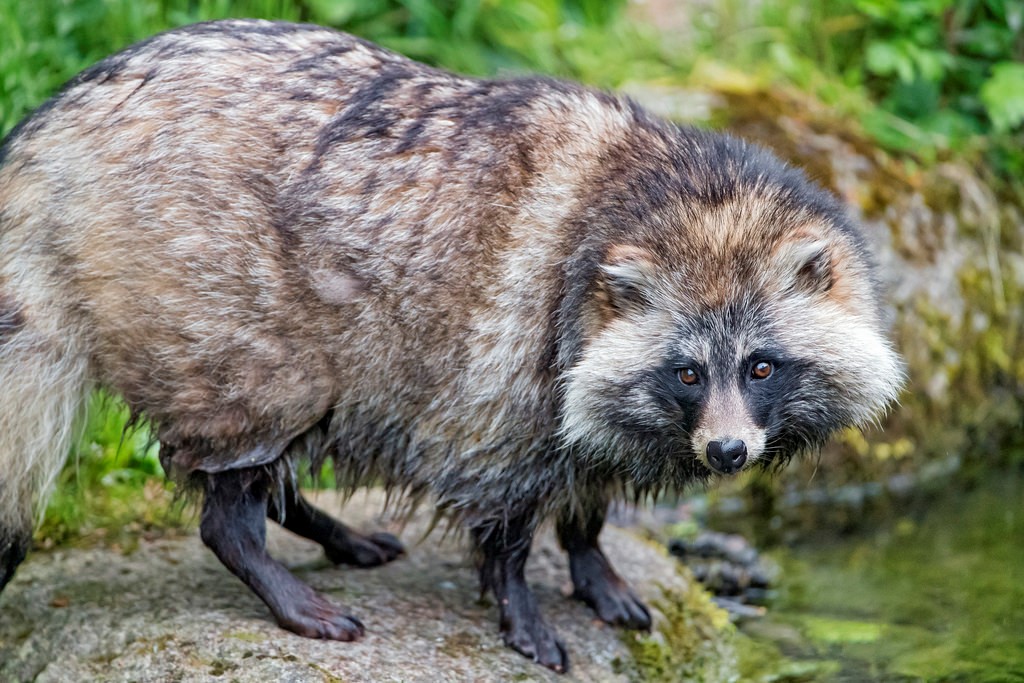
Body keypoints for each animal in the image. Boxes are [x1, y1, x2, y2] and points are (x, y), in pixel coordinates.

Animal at [0, 19, 903, 672]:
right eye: (686, 372)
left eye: (761, 366)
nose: (726, 452)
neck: (668, 192)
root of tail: (55, 129)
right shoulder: (514, 358)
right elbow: (506, 502)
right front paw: (518, 596)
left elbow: (590, 474)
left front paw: (591, 557)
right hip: (219, 312)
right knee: (245, 447)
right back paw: (265, 561)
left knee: (291, 444)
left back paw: (322, 524)